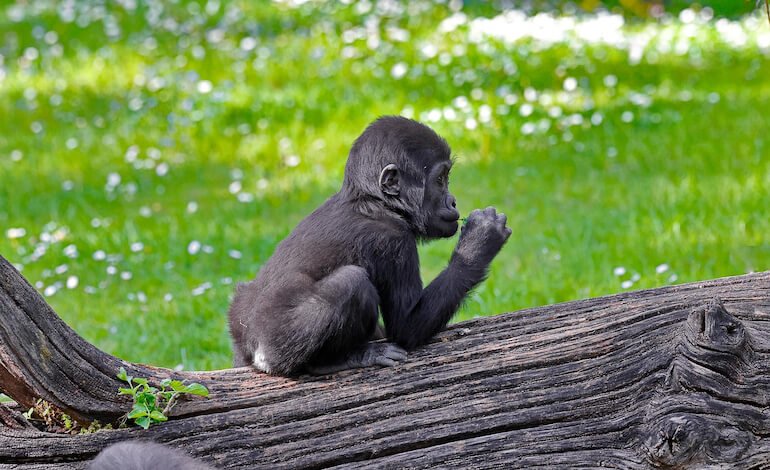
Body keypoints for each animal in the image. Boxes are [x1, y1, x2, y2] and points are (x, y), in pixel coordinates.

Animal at [228, 116, 511, 376]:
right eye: (440, 179)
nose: (452, 201)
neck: (373, 201)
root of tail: (248, 348)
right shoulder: (393, 240)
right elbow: (406, 327)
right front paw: (481, 240)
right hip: (273, 346)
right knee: (352, 283)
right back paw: (331, 362)